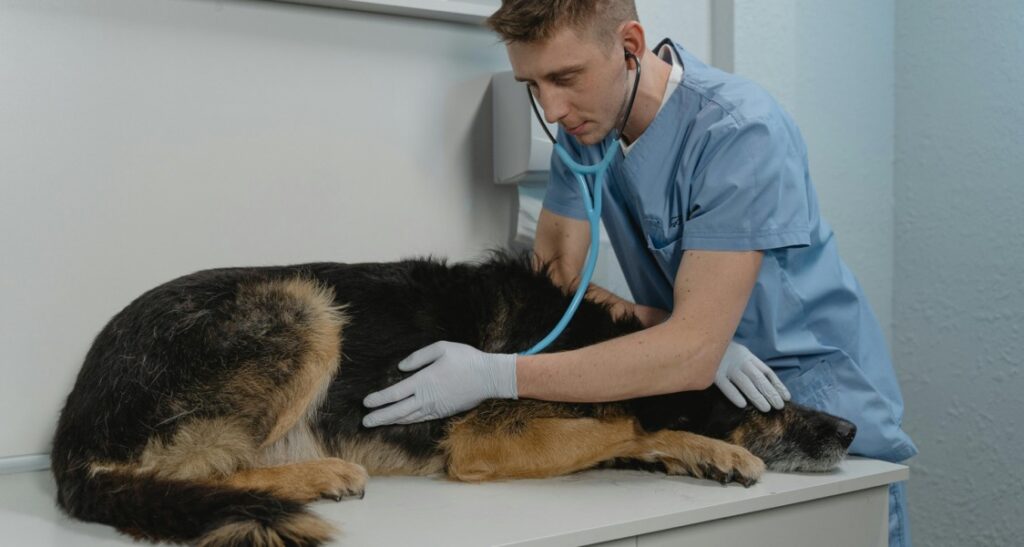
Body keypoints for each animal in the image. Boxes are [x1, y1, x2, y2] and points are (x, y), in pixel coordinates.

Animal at [49, 254, 856, 547]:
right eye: (768, 402)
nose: (849, 430)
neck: (585, 342)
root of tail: (70, 432)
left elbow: (628, 428)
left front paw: (701, 453)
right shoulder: (483, 441)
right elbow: (624, 418)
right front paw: (712, 445)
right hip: (304, 305)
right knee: (192, 469)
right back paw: (315, 475)